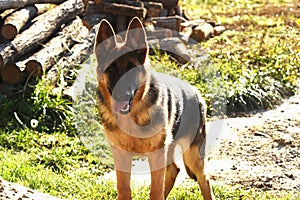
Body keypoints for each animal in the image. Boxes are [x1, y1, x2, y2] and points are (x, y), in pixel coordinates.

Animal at [94, 17, 213, 200]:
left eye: (131, 69)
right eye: (111, 69)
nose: (122, 95)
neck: (133, 116)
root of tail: (195, 91)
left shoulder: (156, 154)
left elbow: (156, 189)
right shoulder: (121, 156)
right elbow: (124, 188)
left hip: (193, 158)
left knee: (204, 179)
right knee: (174, 170)